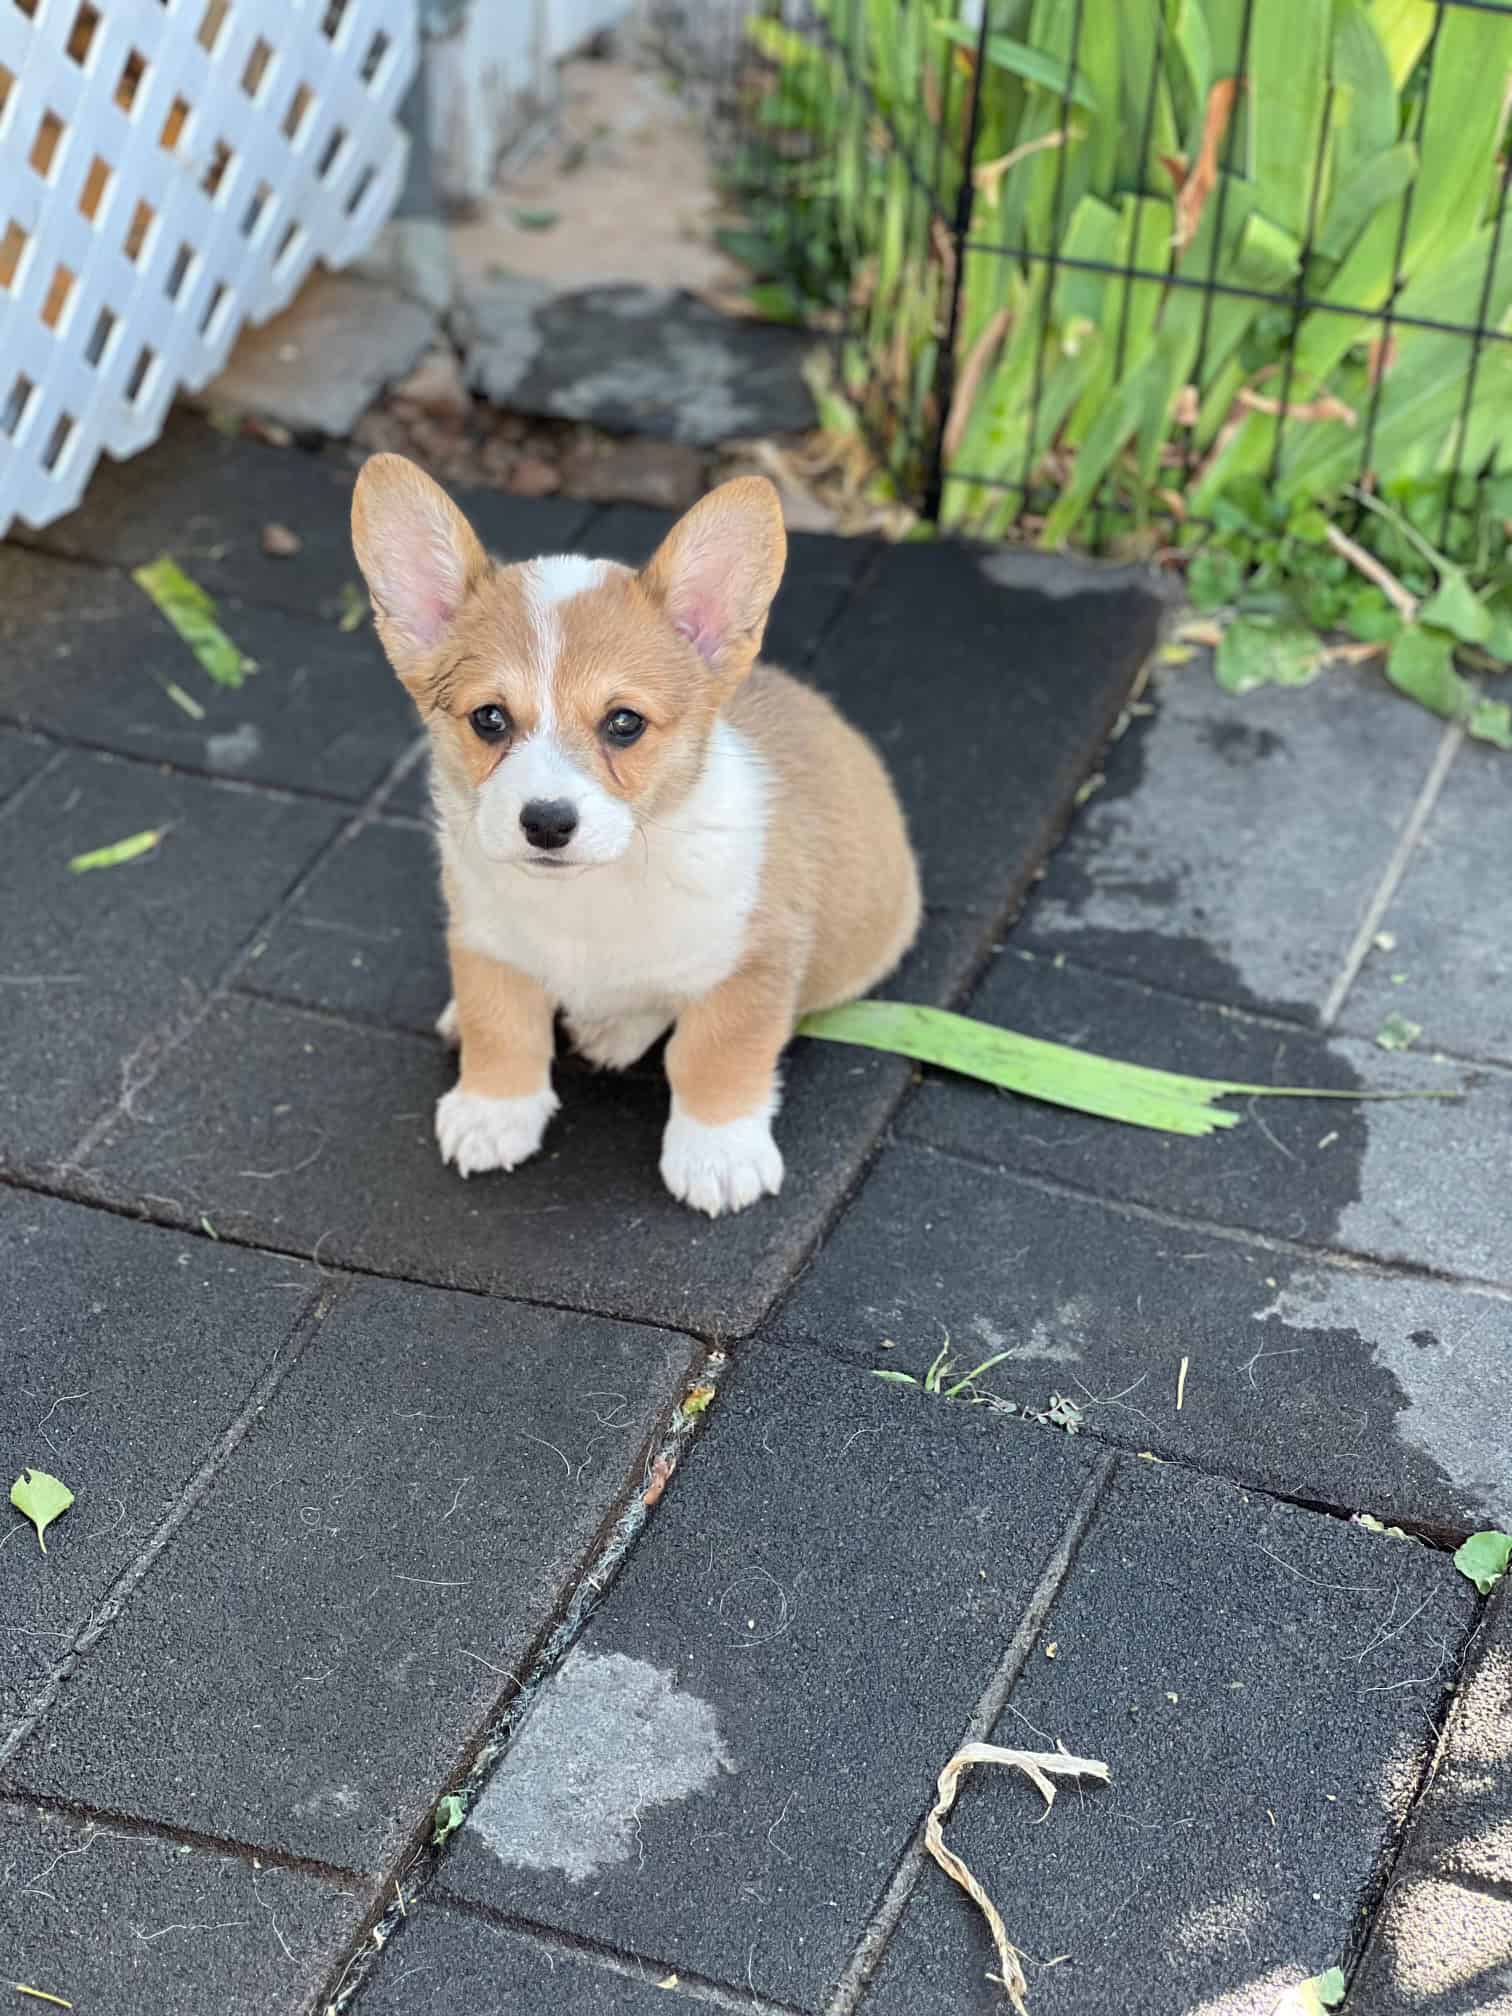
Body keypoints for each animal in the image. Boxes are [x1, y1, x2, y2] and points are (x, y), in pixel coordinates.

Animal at [351, 455, 921, 1216]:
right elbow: (501, 1022)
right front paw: (493, 1110)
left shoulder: (753, 962)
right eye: (489, 719)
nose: (546, 822)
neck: (592, 893)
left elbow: (714, 1053)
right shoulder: (483, 935)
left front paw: (717, 1152)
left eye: (624, 723)